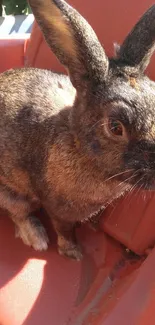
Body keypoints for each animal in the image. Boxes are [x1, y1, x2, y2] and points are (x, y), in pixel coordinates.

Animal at [0, 0, 155, 258]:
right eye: (115, 127)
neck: (79, 147)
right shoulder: (57, 208)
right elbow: (64, 229)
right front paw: (73, 253)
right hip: (11, 194)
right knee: (18, 213)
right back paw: (37, 238)